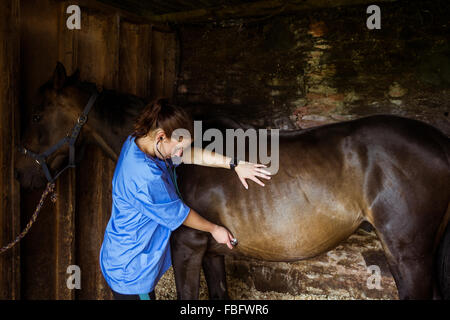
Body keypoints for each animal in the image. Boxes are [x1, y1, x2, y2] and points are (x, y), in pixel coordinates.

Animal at [14, 63, 450, 300]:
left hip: (408, 254)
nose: (20, 173)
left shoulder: (187, 248)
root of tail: (441, 144)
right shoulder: (213, 252)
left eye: (36, 115)